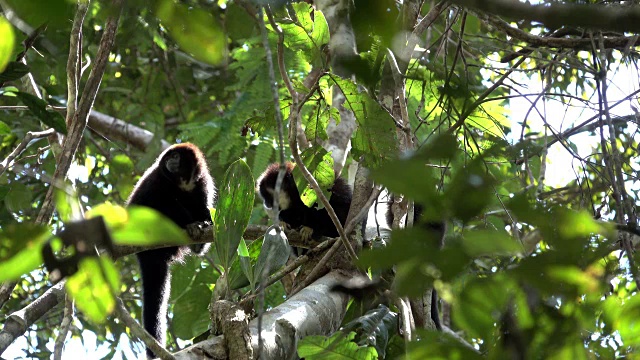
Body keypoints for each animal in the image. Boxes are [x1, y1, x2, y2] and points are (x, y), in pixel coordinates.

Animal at [126, 143, 216, 358]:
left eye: (175, 156)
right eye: (168, 158)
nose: (168, 161)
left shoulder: (204, 181)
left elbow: (204, 207)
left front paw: (206, 222)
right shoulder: (156, 179)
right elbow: (148, 202)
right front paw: (191, 223)